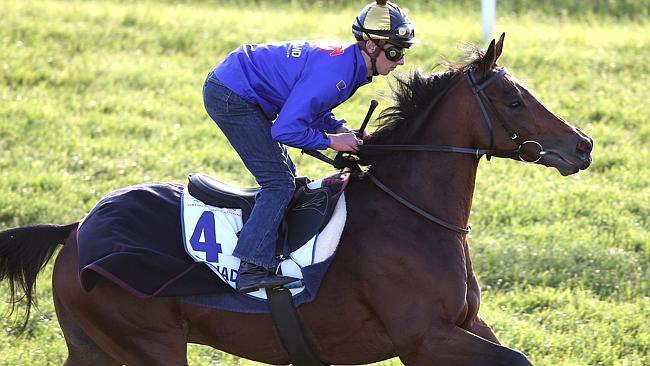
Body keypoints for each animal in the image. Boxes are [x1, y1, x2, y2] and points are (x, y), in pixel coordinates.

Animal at [0, 33, 588, 364]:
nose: (582, 146)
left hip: (92, 346)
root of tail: (75, 230)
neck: (412, 214)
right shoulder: (424, 339)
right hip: (148, 344)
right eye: (513, 101)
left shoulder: (464, 326)